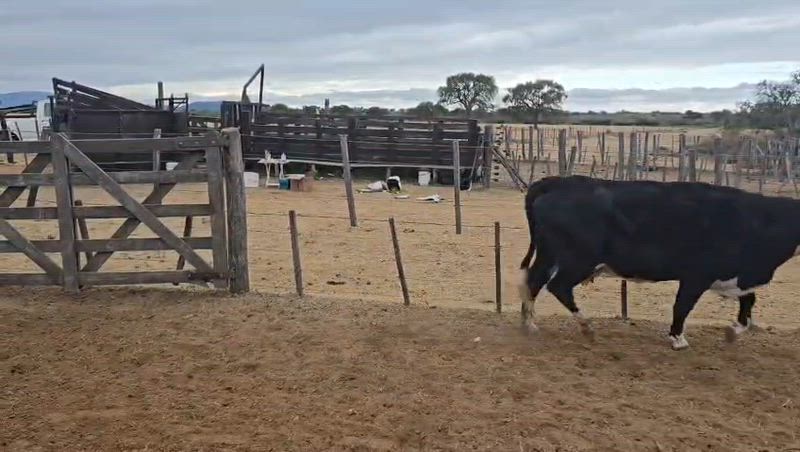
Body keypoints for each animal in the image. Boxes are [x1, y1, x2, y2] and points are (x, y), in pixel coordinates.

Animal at [519, 176, 800, 350]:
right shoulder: (696, 277)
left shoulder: (734, 277)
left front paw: (732, 332)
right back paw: (586, 326)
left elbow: (748, 302)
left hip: (550, 255)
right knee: (558, 286)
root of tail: (556, 182)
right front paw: (677, 339)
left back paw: (529, 324)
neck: (758, 220)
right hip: (579, 260)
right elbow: (682, 307)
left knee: (533, 282)